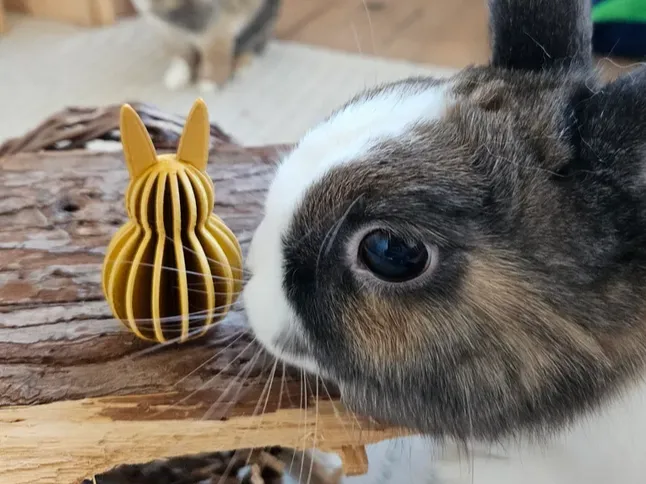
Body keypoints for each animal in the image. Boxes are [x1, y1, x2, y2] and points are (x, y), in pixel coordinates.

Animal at [131, 0, 281, 91]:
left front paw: (209, 85)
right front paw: (176, 78)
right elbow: (181, 56)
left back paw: (240, 68)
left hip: (258, 24)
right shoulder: (168, 32)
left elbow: (214, 56)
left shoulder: (215, 29)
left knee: (250, 48)